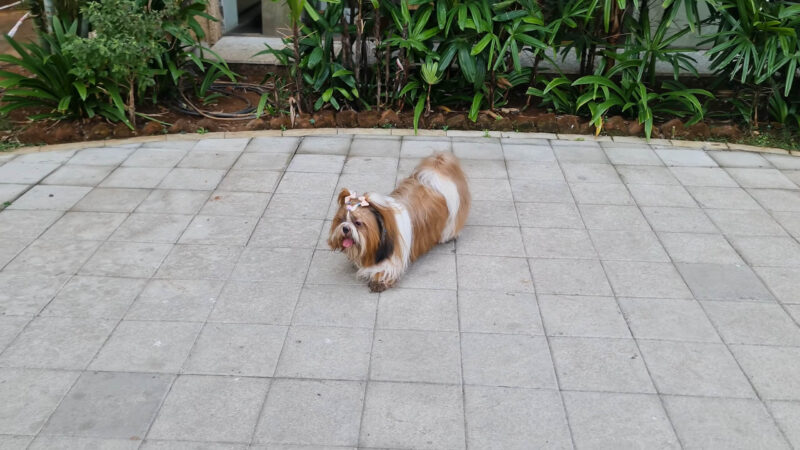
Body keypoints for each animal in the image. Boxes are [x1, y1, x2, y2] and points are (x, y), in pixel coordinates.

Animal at [328, 152, 472, 292]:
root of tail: (433, 174)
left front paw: (378, 282)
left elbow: (384, 269)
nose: (345, 228)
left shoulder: (393, 258)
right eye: (342, 220)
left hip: (451, 219)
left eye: (358, 223)